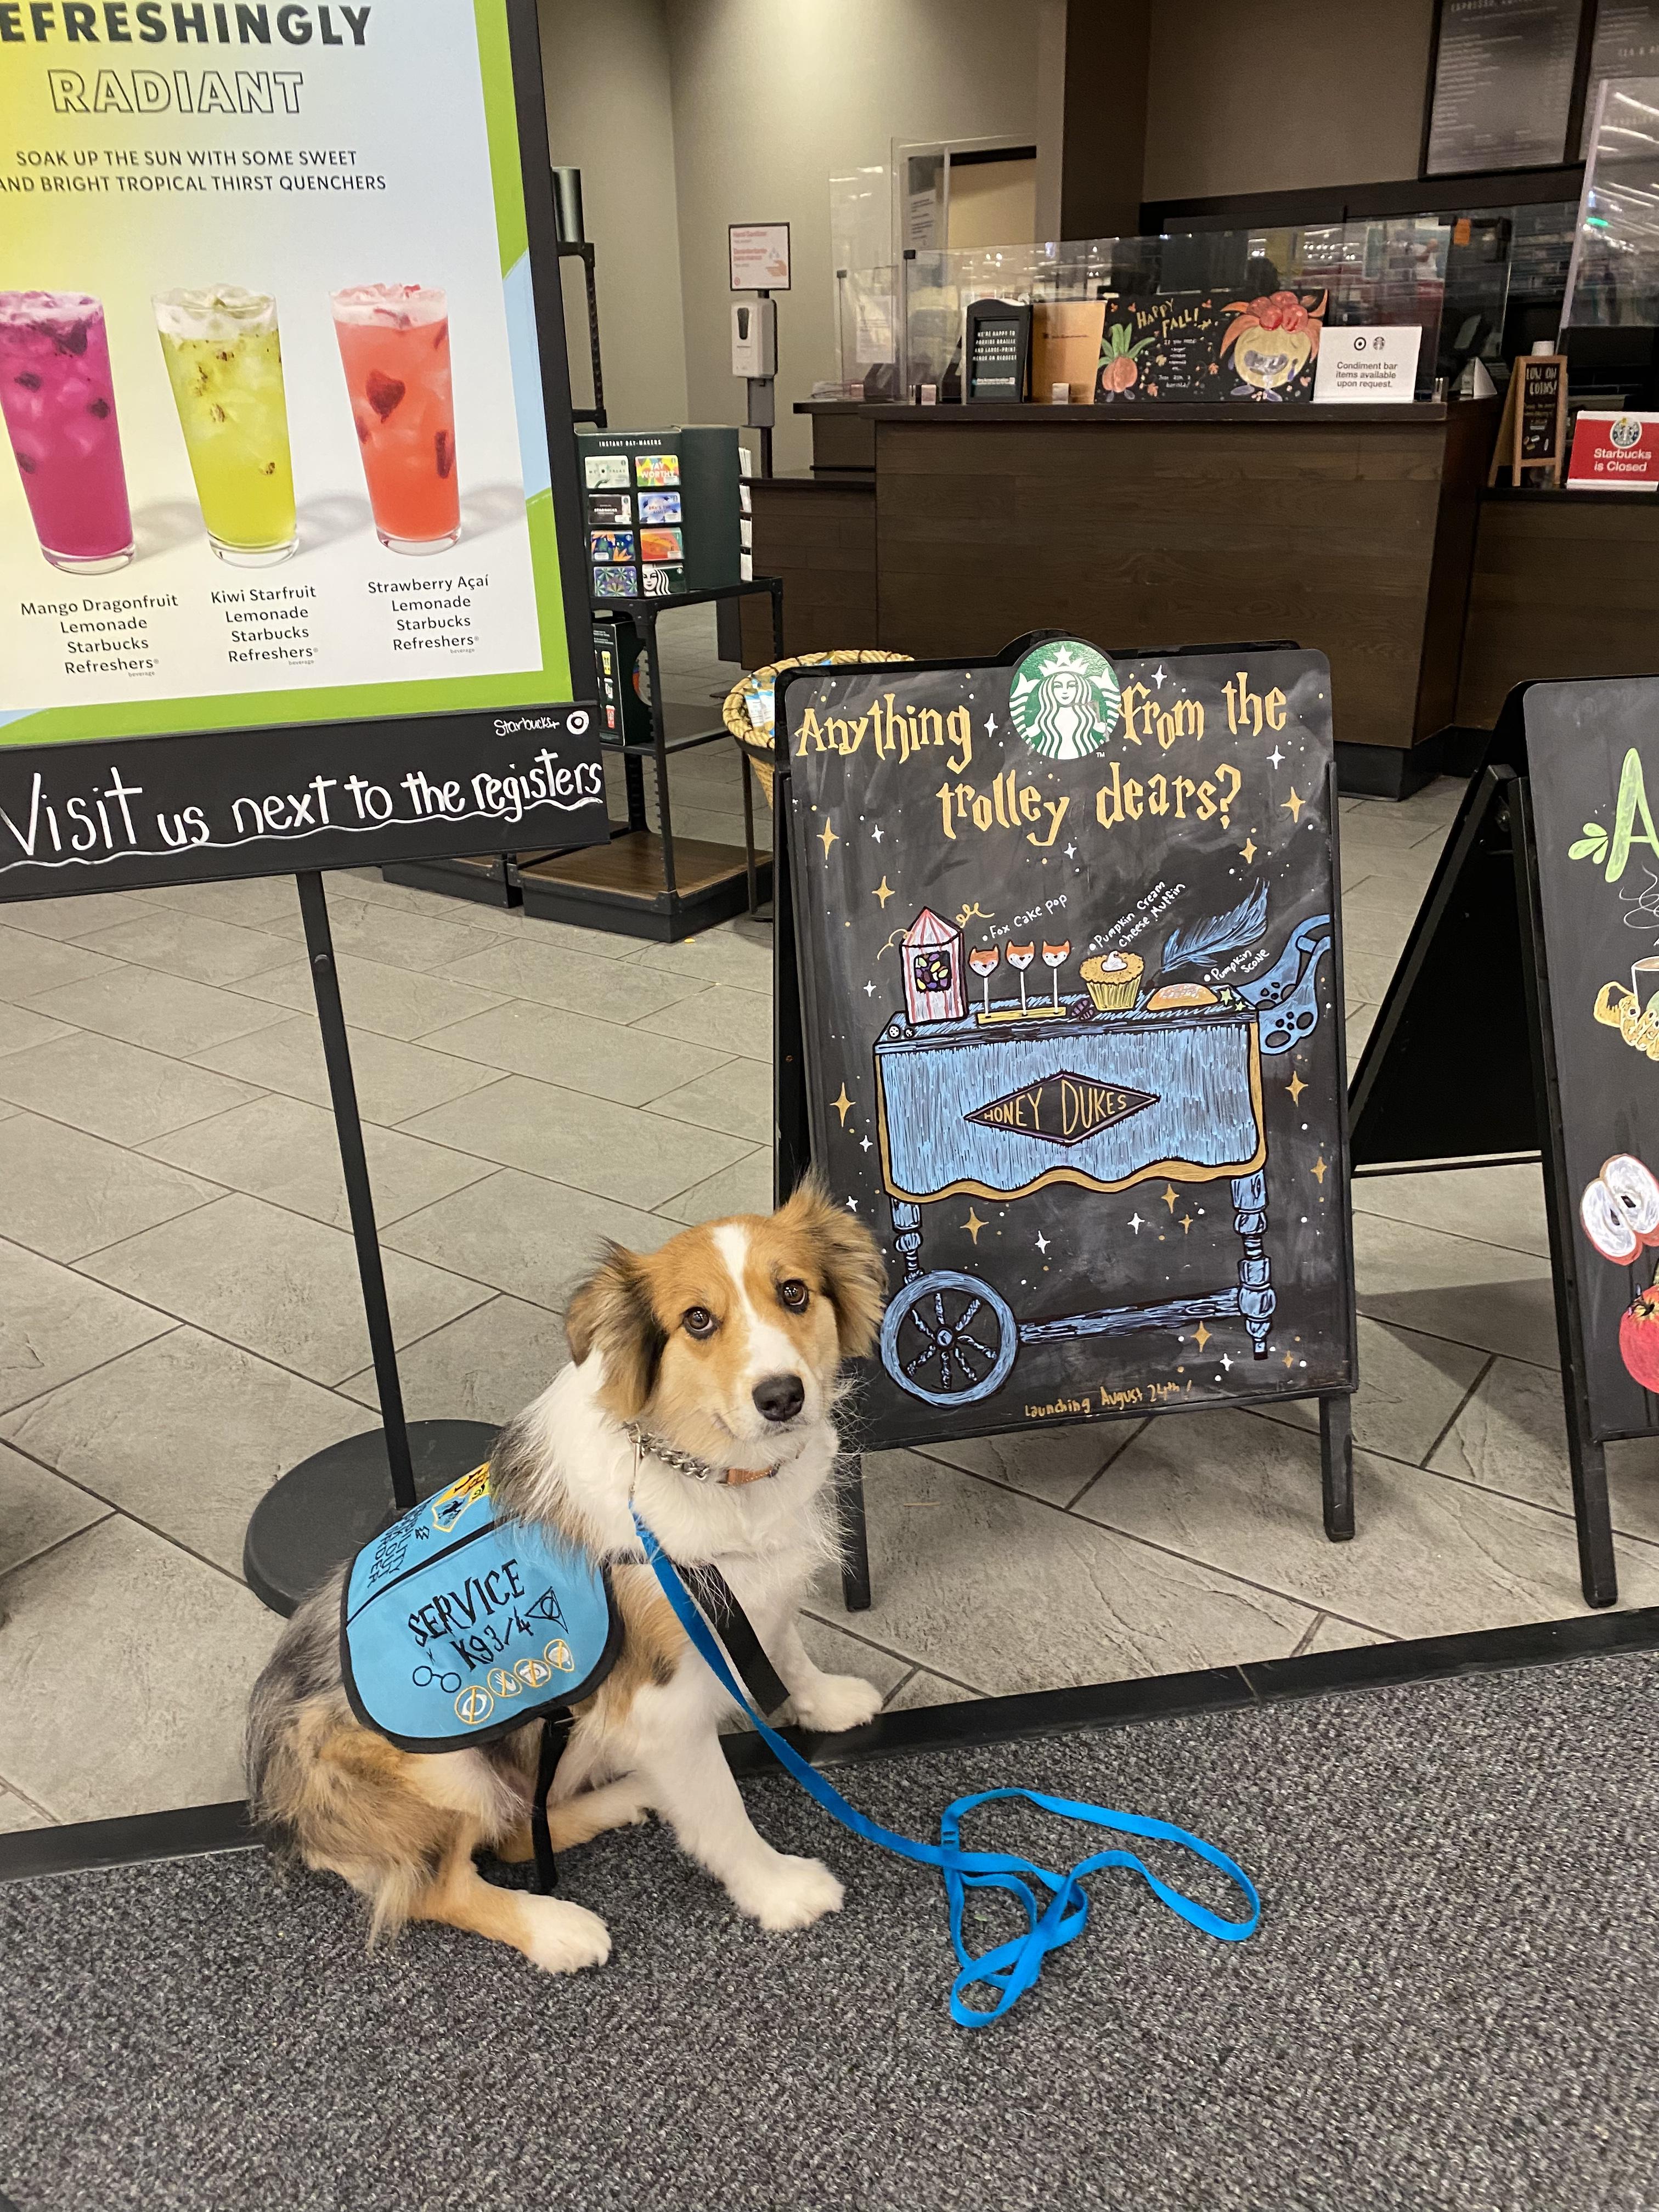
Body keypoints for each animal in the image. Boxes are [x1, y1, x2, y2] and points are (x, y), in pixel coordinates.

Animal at [246, 1175, 887, 1976]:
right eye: (699, 1320)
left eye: (795, 1293)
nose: (782, 1397)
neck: (710, 1469)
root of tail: (282, 1810)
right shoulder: (663, 1706)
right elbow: (722, 1814)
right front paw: (778, 1890)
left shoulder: (748, 1595)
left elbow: (789, 1649)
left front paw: (825, 1701)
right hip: (446, 1769)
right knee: (449, 1880)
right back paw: (557, 1928)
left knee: (522, 1827)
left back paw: (624, 1795)